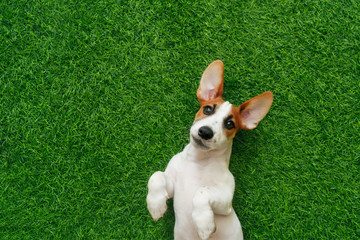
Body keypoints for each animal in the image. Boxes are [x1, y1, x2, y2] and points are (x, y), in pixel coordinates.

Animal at [146, 60, 272, 240]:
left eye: (229, 124)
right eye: (207, 109)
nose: (205, 132)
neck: (199, 160)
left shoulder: (226, 201)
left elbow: (202, 191)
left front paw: (204, 223)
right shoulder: (171, 186)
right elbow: (156, 176)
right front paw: (155, 204)